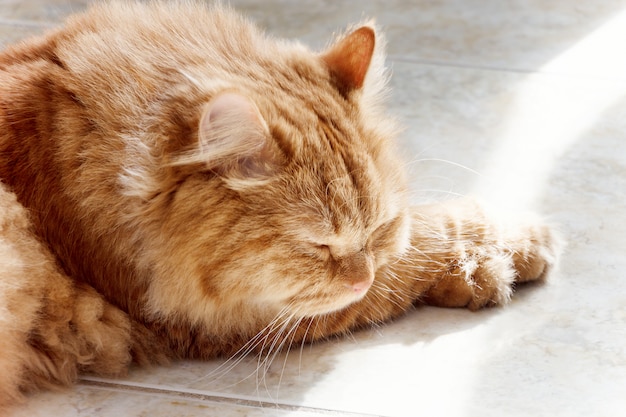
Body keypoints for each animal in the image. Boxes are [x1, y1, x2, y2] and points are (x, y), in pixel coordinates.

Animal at [0, 0, 560, 410]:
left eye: (377, 228)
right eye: (318, 246)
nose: (359, 278)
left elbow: (408, 248)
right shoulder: (239, 322)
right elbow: (421, 245)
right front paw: (515, 245)